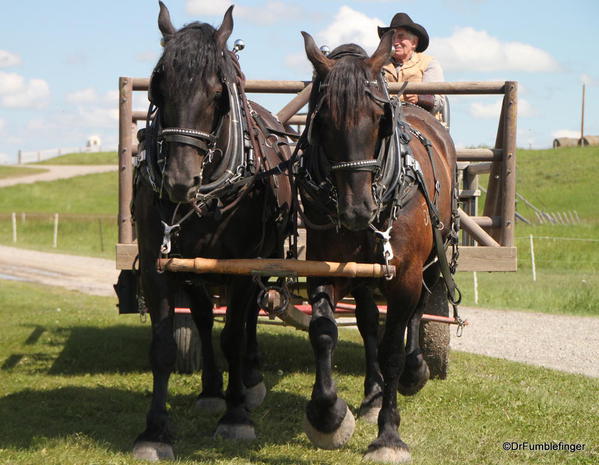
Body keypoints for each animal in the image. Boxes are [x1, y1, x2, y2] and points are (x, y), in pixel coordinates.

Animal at [130, 2, 292, 460]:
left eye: (219, 94)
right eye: (157, 89)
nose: (179, 181)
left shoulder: (242, 264)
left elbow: (234, 336)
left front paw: (236, 417)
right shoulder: (159, 264)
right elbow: (164, 347)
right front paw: (155, 431)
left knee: (249, 316)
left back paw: (247, 384)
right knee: (203, 317)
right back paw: (210, 390)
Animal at [298, 31, 460, 460]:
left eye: (377, 119)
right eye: (321, 120)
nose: (357, 210)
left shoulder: (404, 276)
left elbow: (392, 349)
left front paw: (389, 435)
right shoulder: (324, 267)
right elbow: (324, 331)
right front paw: (327, 415)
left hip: (434, 256)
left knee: (420, 309)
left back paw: (415, 370)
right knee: (369, 322)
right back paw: (371, 396)